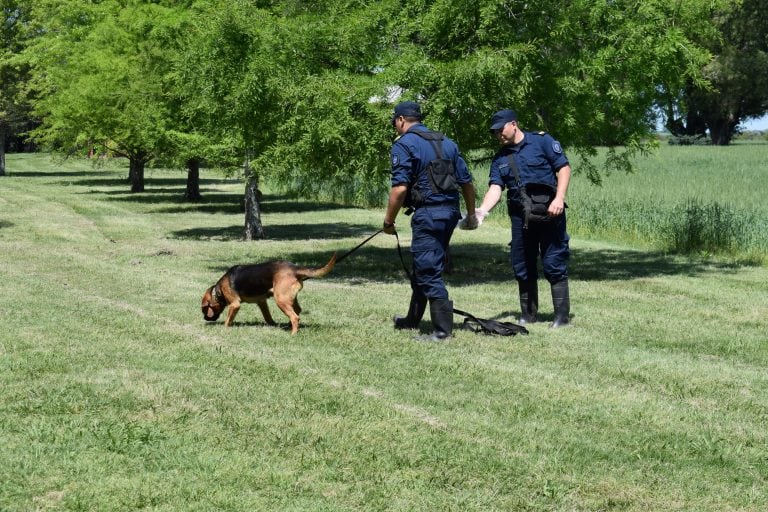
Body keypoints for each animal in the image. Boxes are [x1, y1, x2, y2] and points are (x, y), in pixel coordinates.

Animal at [201, 253, 336, 334]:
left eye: (204, 309)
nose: (204, 318)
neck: (218, 290)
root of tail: (294, 268)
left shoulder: (235, 304)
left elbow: (228, 319)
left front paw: (224, 328)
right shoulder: (262, 302)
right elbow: (268, 317)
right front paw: (273, 325)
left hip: (280, 299)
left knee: (295, 317)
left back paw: (293, 333)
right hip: (289, 298)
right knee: (297, 311)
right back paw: (289, 326)